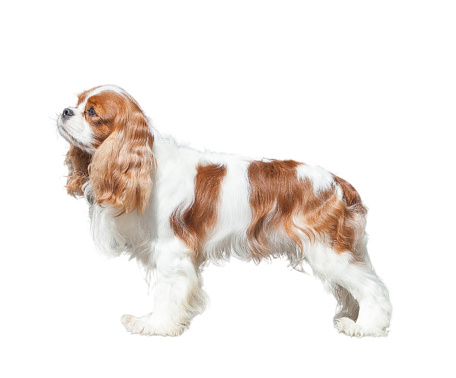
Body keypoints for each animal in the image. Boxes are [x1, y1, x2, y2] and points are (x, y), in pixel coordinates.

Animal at [57, 85, 392, 336]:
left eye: (91, 112)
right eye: (76, 102)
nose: (65, 111)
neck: (144, 162)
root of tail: (339, 183)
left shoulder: (171, 250)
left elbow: (166, 291)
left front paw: (156, 325)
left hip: (326, 249)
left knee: (371, 287)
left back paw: (366, 326)